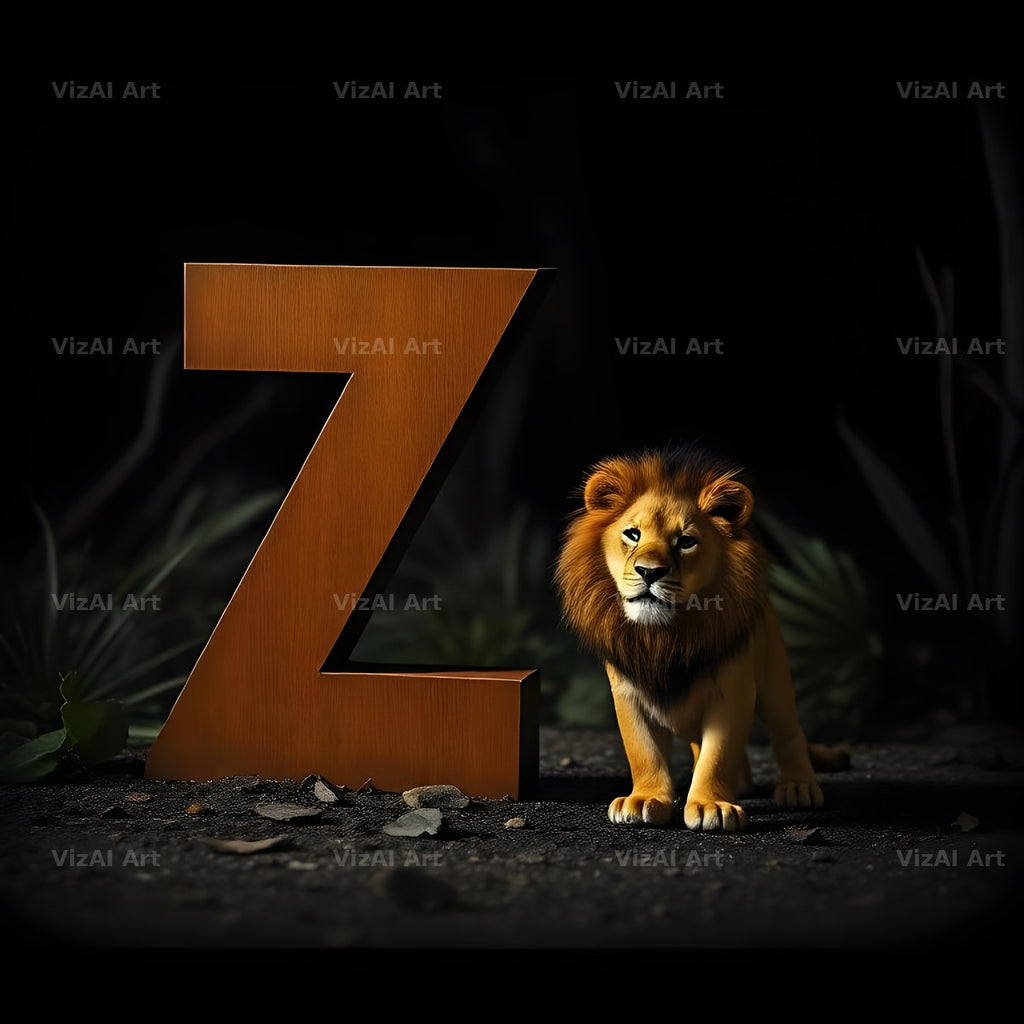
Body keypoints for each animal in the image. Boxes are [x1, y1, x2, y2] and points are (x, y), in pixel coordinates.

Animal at [556, 444, 841, 832]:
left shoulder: (733, 691)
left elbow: (717, 753)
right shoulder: (628, 692)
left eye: (686, 542)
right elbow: (643, 750)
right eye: (632, 534)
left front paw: (710, 805)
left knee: (788, 730)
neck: (665, 636)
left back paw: (798, 786)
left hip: (775, 682)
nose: (649, 572)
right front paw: (645, 799)